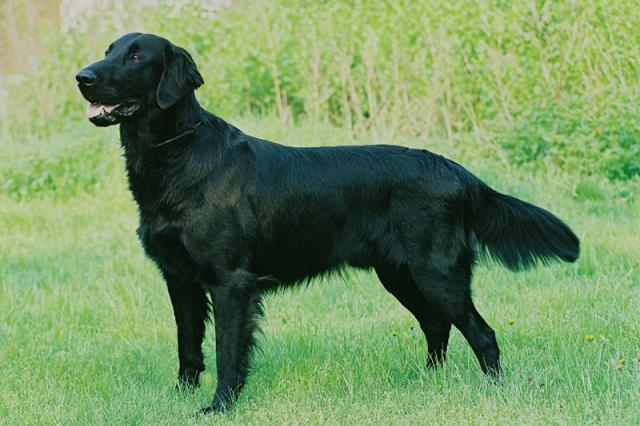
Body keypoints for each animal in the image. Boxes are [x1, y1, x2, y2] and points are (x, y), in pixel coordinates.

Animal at [76, 33, 580, 412]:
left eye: (136, 56)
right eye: (108, 50)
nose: (82, 77)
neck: (177, 152)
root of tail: (455, 169)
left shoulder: (230, 282)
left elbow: (226, 351)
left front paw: (220, 406)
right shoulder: (179, 278)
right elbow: (187, 345)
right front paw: (179, 399)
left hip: (437, 273)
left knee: (481, 333)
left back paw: (494, 392)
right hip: (401, 275)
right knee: (436, 326)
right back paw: (425, 381)